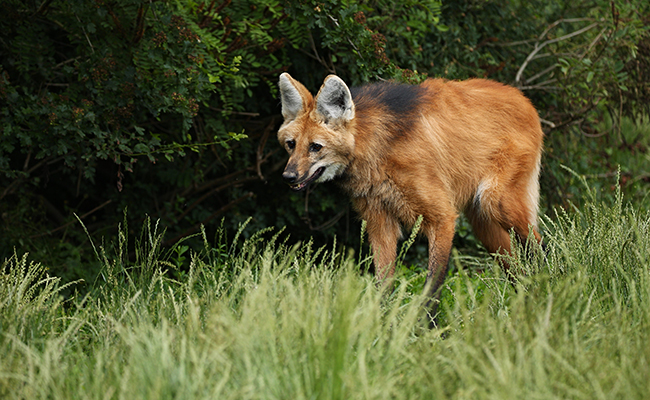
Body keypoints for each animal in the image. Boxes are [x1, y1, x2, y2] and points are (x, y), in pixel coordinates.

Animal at [274, 72, 540, 318]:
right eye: (291, 144)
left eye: (315, 147)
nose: (288, 177)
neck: (377, 149)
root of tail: (523, 98)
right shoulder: (379, 222)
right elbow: (383, 282)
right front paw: (382, 324)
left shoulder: (442, 217)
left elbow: (432, 286)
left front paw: (425, 330)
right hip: (484, 224)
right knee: (517, 267)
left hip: (494, 201)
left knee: (539, 245)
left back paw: (547, 287)